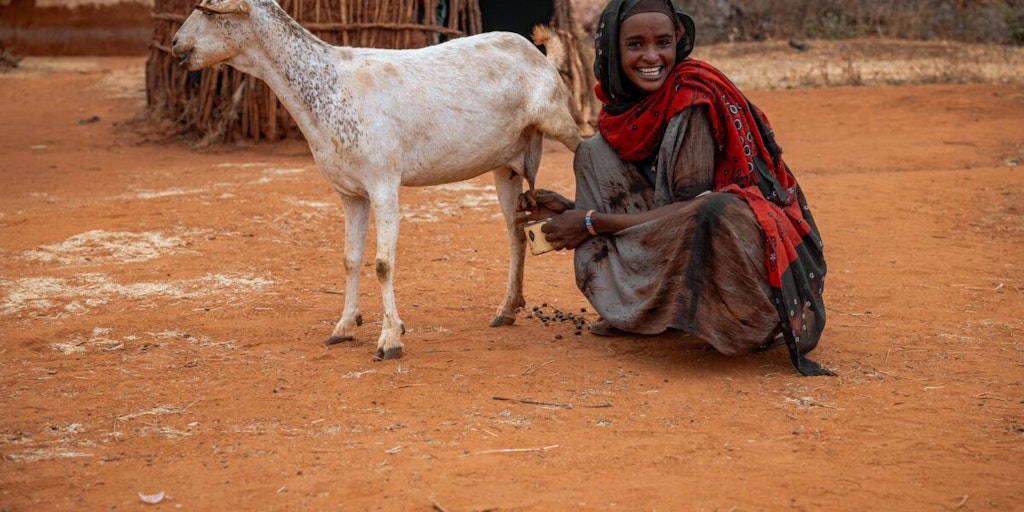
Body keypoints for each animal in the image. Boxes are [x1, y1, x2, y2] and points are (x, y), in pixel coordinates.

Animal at [171, 0, 582, 360]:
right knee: (515, 233)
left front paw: (390, 339)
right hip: (506, 166)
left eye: (210, 11)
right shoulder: (350, 192)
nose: (175, 43)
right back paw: (507, 309)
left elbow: (383, 264)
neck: (329, 86)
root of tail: (541, 57)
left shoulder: (384, 182)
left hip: (559, 119)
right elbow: (350, 259)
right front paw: (343, 326)